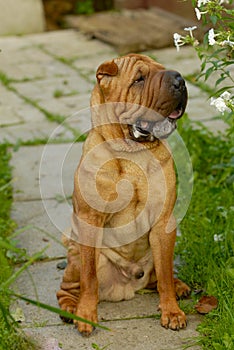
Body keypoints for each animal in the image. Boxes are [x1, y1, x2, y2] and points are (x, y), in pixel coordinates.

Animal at [56, 53, 190, 334]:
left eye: (162, 69)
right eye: (139, 79)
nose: (180, 80)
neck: (132, 151)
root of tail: (128, 286)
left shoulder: (163, 223)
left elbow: (164, 275)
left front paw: (171, 311)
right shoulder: (91, 221)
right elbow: (89, 279)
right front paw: (86, 315)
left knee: (160, 276)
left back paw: (178, 286)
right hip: (77, 255)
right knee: (69, 287)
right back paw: (71, 308)